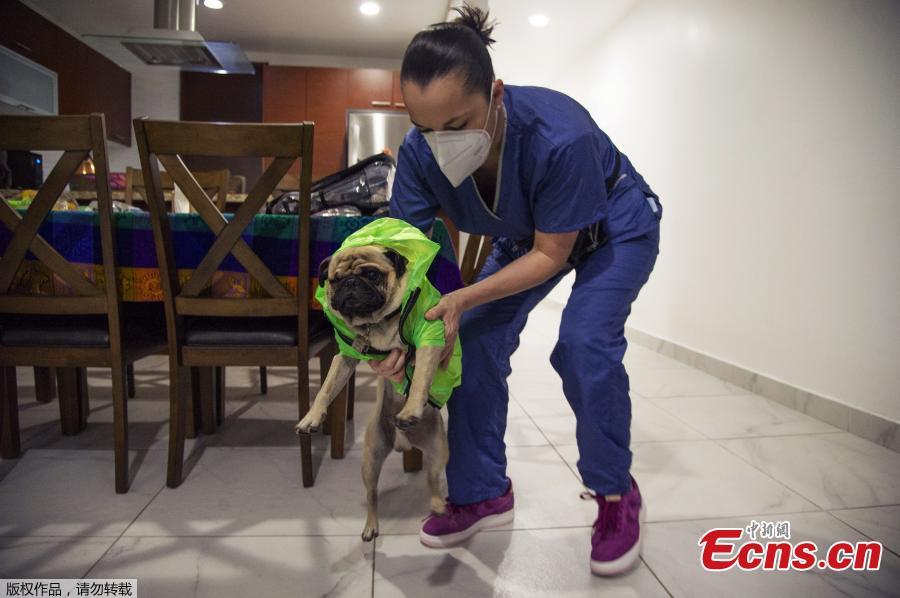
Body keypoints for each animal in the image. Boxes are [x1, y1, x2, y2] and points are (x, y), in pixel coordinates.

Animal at [294, 243, 451, 542]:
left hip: (439, 450)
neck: (375, 323)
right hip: (371, 460)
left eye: (372, 274)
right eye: (335, 279)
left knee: (433, 478)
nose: (351, 283)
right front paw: (311, 418)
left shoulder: (428, 339)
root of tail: (403, 442)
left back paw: (438, 505)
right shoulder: (344, 357)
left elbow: (419, 379)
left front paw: (411, 408)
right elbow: (325, 389)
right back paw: (371, 526)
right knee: (372, 494)